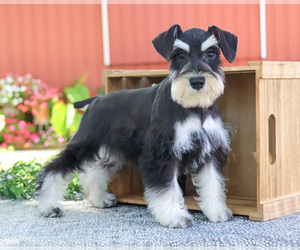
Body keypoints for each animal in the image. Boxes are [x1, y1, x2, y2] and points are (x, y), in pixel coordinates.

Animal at [35, 24, 237, 228]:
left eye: (211, 53)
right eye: (180, 55)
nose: (197, 82)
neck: (193, 107)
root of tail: (95, 101)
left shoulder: (210, 150)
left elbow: (213, 183)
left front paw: (217, 212)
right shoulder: (161, 154)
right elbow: (167, 188)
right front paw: (175, 217)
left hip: (109, 151)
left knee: (94, 171)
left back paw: (99, 199)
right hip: (84, 145)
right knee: (53, 170)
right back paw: (48, 206)